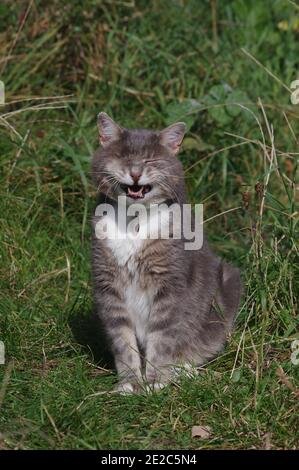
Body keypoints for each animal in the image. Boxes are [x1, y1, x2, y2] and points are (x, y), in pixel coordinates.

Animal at [90, 111, 243, 392]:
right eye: (123, 158)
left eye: (150, 160)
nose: (135, 173)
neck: (135, 219)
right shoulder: (108, 283)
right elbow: (122, 340)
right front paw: (130, 383)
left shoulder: (170, 284)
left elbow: (161, 337)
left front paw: (155, 382)